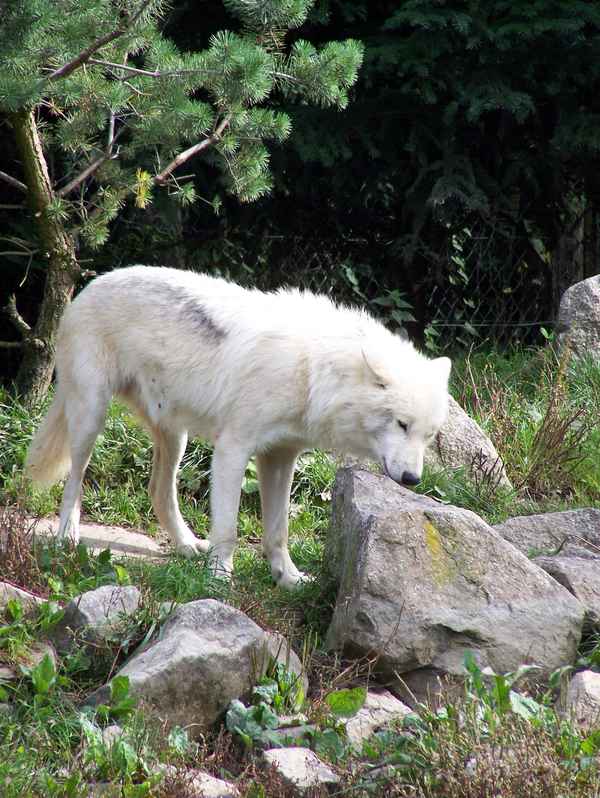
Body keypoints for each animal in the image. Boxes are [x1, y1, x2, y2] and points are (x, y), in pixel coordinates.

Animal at [26, 266, 451, 588]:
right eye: (401, 424)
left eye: (429, 436)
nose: (413, 479)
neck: (311, 370)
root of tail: (87, 287)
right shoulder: (233, 450)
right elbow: (228, 529)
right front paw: (218, 579)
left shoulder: (279, 458)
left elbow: (278, 531)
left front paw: (289, 579)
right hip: (91, 418)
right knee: (74, 481)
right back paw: (67, 538)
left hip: (175, 437)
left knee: (158, 492)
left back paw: (186, 546)